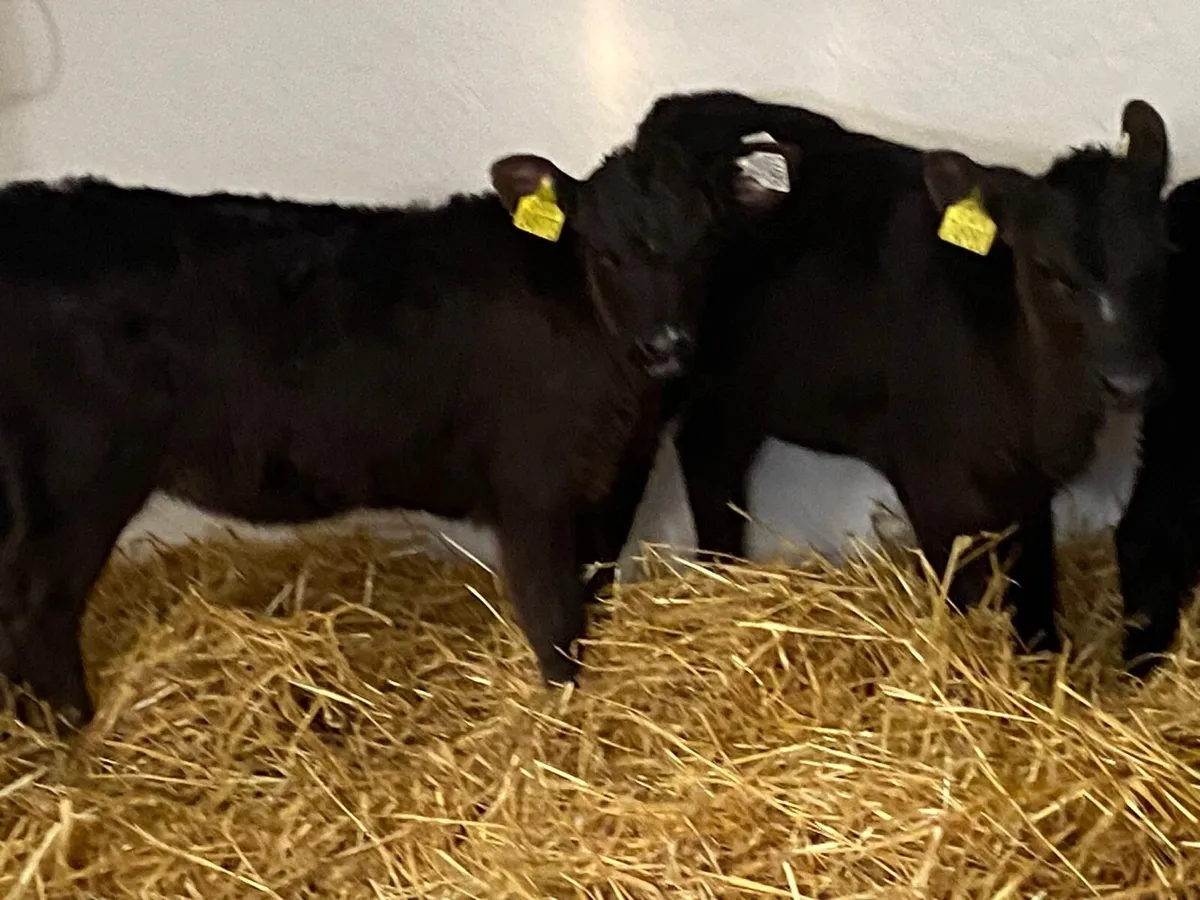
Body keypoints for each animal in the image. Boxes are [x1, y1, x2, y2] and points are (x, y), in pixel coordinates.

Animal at [0, 131, 800, 728]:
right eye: (604, 250)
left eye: (707, 243)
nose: (666, 345)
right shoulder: (531, 489)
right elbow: (552, 617)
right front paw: (561, 718)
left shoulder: (615, 478)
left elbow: (591, 593)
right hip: (81, 475)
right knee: (42, 605)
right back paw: (75, 734)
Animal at [590, 90, 1170, 660]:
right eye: (1051, 271)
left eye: (1158, 257)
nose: (1128, 383)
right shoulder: (931, 478)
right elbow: (960, 592)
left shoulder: (1031, 488)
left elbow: (1037, 586)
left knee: (710, 455)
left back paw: (725, 575)